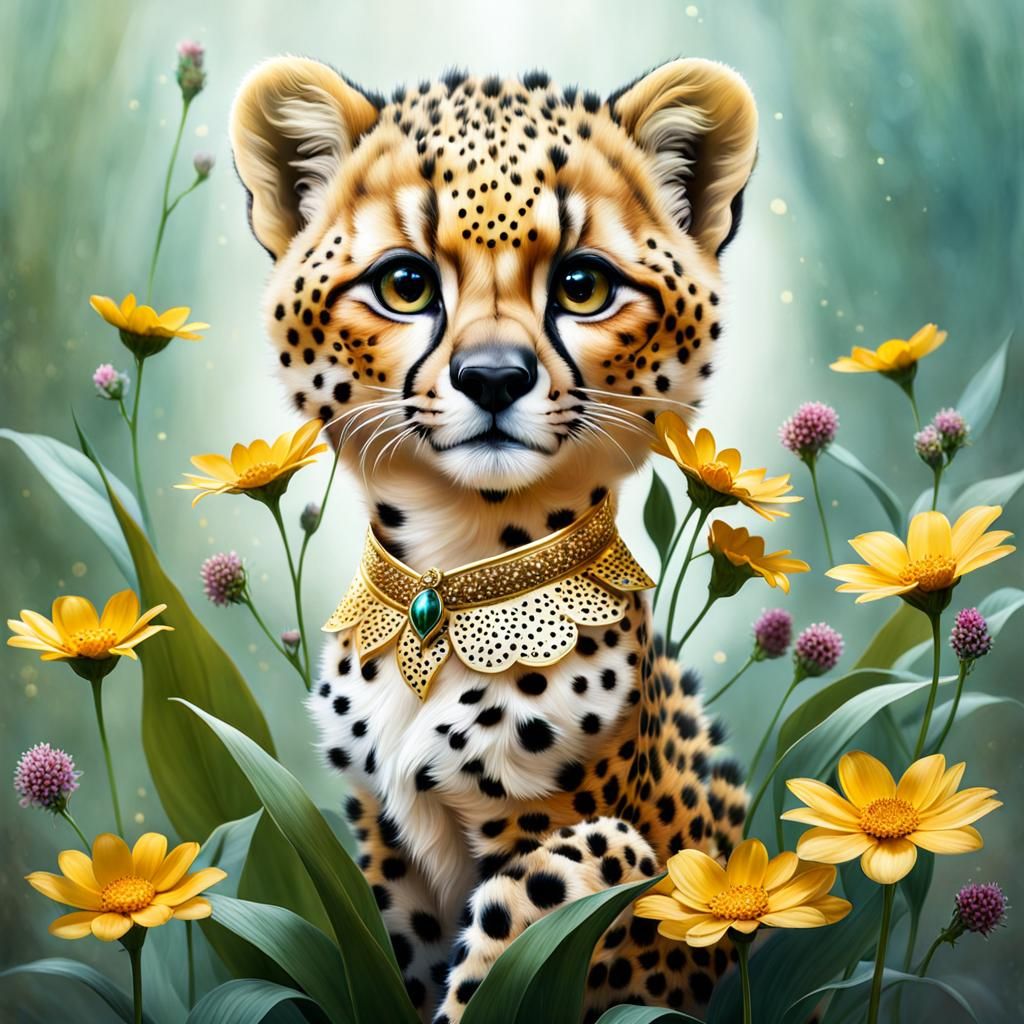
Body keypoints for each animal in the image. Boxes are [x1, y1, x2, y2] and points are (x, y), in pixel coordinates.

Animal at [230, 55, 758, 1023]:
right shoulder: (389, 848)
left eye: (583, 285)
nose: (494, 378)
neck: (458, 560)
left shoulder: (584, 845)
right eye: (405, 283)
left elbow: (539, 909)